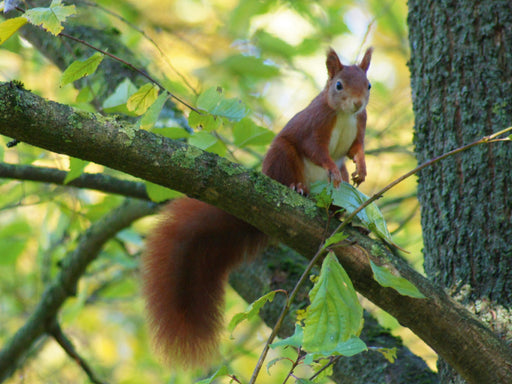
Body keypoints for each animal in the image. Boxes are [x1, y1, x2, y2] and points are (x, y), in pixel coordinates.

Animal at [141, 46, 372, 368]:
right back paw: (297, 189)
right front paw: (330, 168)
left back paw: (343, 216)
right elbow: (316, 149)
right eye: (338, 85)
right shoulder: (315, 124)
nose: (357, 103)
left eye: (368, 85)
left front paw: (361, 168)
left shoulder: (359, 126)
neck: (344, 116)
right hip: (282, 156)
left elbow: (356, 150)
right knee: (291, 167)